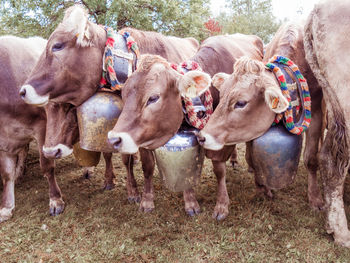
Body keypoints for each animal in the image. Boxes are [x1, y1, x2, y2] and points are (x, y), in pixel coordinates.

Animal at [108, 35, 264, 221]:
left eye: (153, 98)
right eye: (124, 95)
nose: (114, 139)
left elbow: (218, 170)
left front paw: (221, 205)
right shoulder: (145, 137)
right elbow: (150, 167)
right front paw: (148, 201)